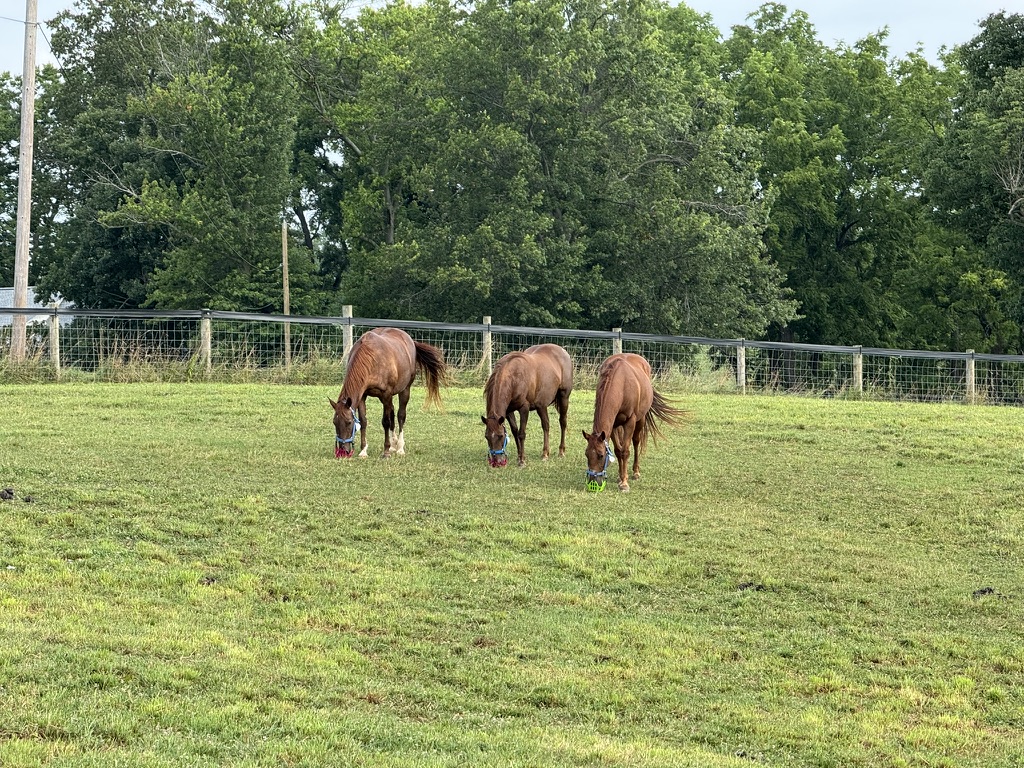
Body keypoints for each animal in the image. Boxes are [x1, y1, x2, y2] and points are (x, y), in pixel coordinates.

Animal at [329, 327, 447, 459]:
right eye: (334, 423)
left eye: (349, 422)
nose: (343, 452)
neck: (371, 358)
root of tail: (410, 341)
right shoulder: (362, 395)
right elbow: (364, 421)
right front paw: (363, 451)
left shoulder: (386, 394)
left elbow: (385, 422)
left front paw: (385, 451)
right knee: (392, 412)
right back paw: (393, 444)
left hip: (405, 390)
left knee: (400, 415)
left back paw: (400, 447)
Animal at [582, 353, 686, 492]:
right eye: (586, 454)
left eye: (601, 455)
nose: (593, 483)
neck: (621, 385)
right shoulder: (613, 424)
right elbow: (618, 451)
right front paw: (621, 477)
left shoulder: (630, 422)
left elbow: (625, 451)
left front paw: (624, 484)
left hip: (640, 419)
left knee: (636, 442)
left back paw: (636, 472)